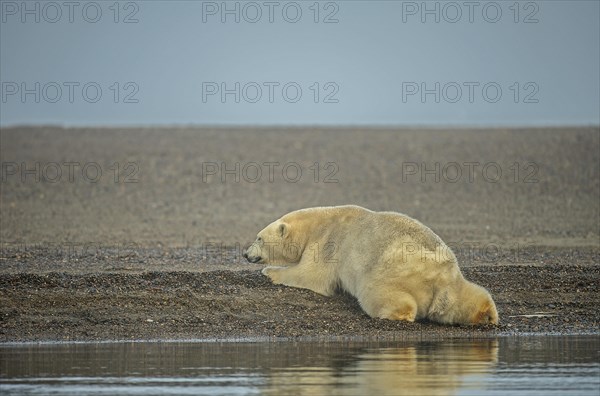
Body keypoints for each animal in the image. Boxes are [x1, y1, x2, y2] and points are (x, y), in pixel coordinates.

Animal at [241, 204, 500, 324]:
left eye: (258, 238)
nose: (245, 254)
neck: (317, 222)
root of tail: (436, 272)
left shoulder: (327, 241)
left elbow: (311, 276)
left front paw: (269, 271)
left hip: (388, 270)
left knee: (378, 294)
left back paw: (398, 313)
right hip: (452, 281)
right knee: (469, 297)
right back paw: (487, 315)